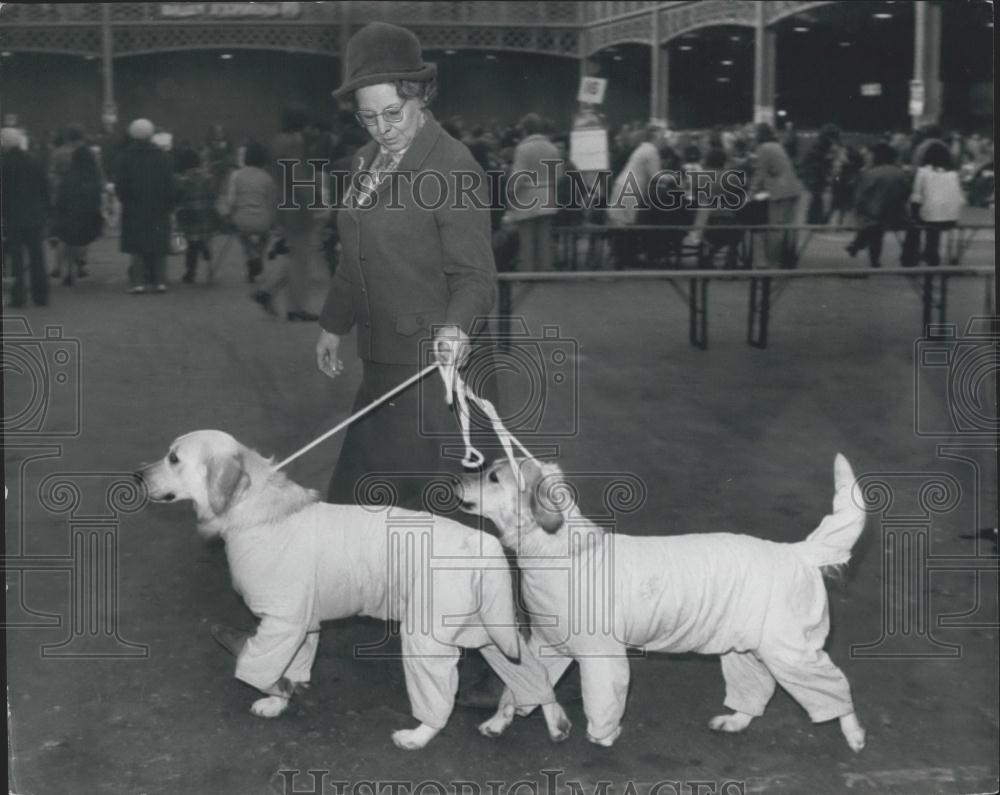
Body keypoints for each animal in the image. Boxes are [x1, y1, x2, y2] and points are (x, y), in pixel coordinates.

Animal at [136, 432, 572, 748]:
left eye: (174, 458)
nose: (138, 474)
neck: (256, 512)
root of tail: (483, 543)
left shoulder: (281, 622)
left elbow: (256, 665)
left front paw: (276, 690)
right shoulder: (303, 624)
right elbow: (293, 664)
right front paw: (279, 701)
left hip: (427, 639)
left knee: (441, 696)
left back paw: (417, 736)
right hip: (492, 631)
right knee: (535, 677)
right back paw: (551, 724)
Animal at [458, 454, 872, 752]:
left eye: (494, 477)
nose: (457, 479)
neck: (559, 549)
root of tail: (798, 552)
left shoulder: (601, 654)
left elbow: (602, 700)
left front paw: (603, 735)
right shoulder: (547, 643)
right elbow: (519, 689)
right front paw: (506, 723)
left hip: (792, 652)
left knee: (836, 690)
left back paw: (854, 734)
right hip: (748, 649)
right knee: (756, 691)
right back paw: (734, 721)